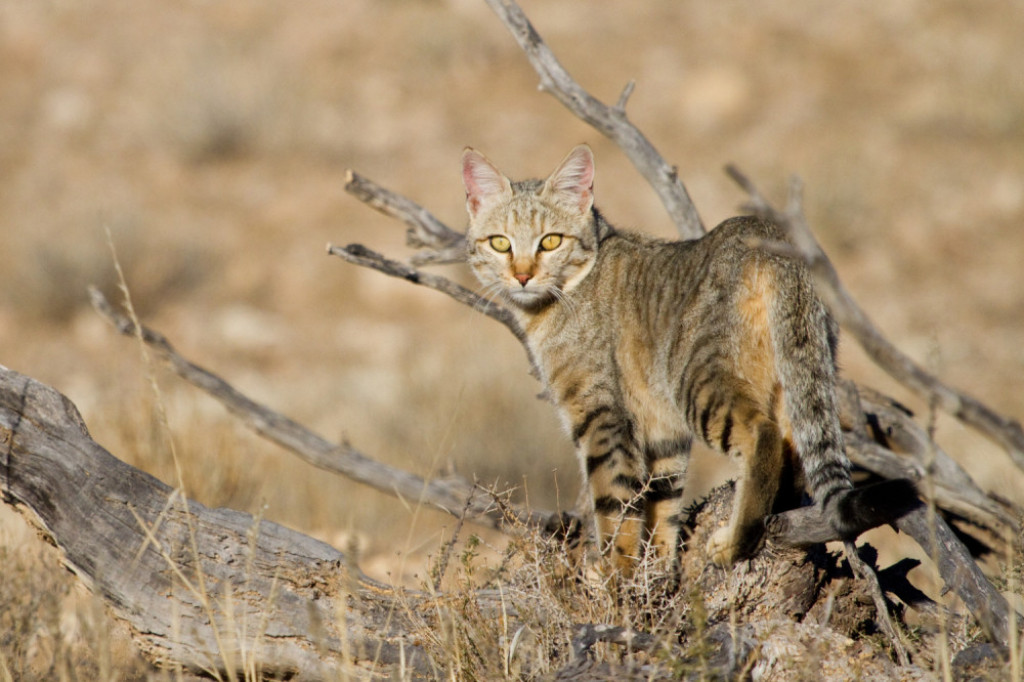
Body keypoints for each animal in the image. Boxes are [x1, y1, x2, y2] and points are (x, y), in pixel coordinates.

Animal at [464, 144, 913, 573]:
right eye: (500, 243)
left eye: (551, 241)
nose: (522, 276)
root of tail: (768, 230)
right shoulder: (662, 431)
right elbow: (662, 503)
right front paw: (659, 570)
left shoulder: (601, 418)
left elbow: (615, 509)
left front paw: (615, 578)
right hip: (802, 371)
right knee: (794, 452)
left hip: (697, 380)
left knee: (763, 436)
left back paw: (735, 542)